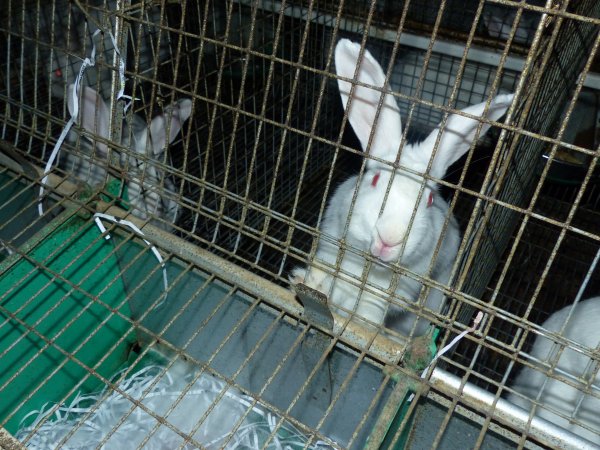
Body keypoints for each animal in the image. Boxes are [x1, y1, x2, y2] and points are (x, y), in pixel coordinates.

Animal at [288, 40, 512, 336]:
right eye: (374, 180)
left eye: (429, 200)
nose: (390, 238)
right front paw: (306, 281)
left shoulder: (393, 292)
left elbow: (369, 310)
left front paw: (365, 325)